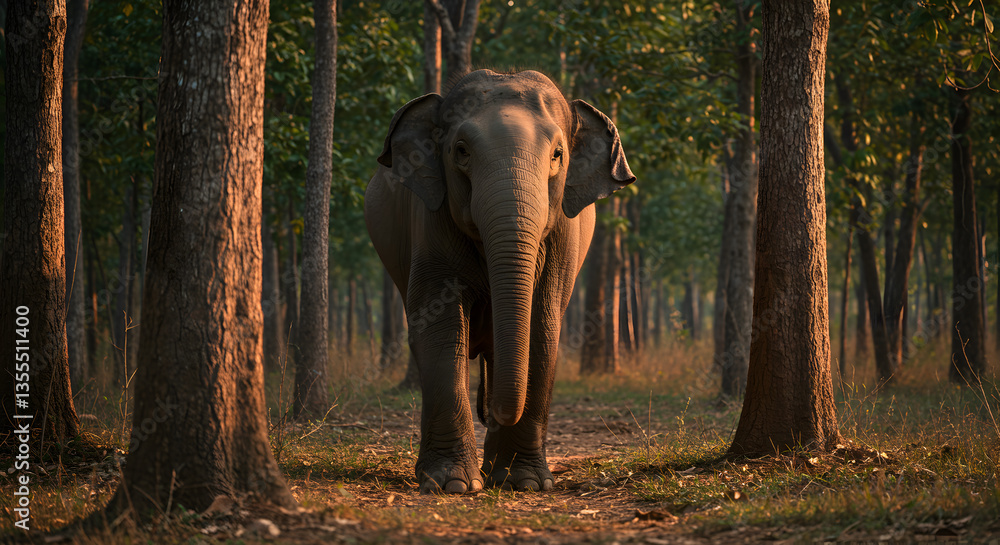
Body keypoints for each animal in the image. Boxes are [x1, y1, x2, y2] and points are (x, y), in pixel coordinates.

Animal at [364, 69, 634, 494]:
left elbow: (542, 327)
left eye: (557, 155)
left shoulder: (562, 236)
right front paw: (451, 484)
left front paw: (524, 482)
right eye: (460, 150)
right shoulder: (430, 222)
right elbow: (438, 328)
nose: (494, 412)